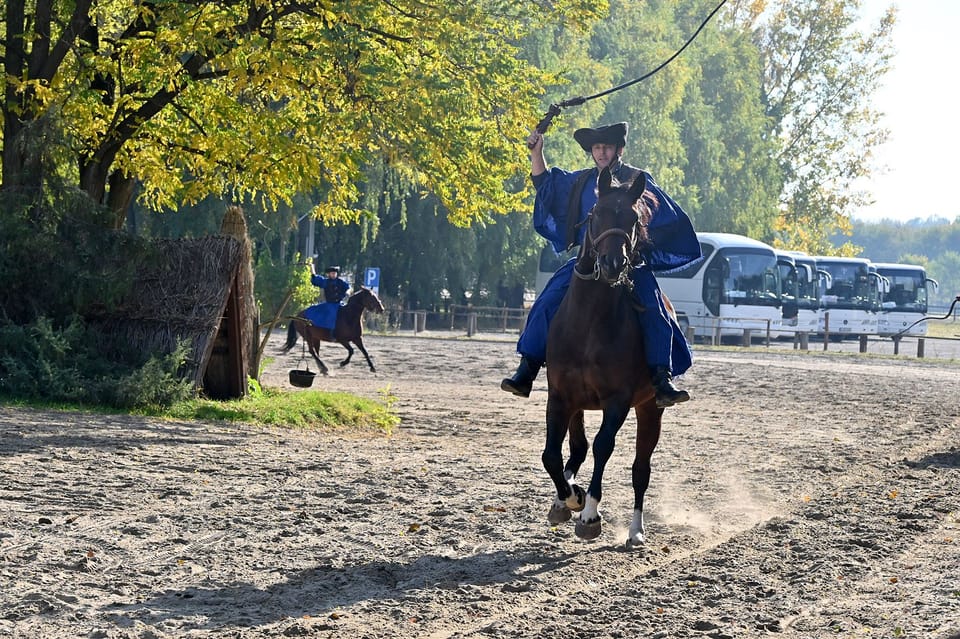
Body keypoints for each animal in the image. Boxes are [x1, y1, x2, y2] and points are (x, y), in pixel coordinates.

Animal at [544, 166, 664, 552]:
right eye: (595, 214)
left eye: (633, 218)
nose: (613, 264)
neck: (589, 322)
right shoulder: (560, 396)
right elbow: (552, 455)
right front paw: (570, 497)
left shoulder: (618, 401)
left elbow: (603, 447)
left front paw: (589, 514)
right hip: (580, 405)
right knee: (576, 450)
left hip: (650, 408)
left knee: (640, 469)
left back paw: (635, 531)